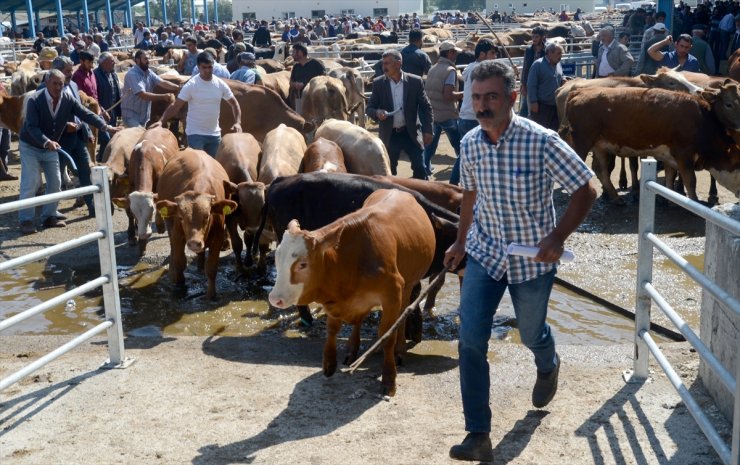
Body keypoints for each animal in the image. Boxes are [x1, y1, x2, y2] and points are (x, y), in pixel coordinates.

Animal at [155, 150, 237, 300]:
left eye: (207, 216)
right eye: (181, 217)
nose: (194, 243)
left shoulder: (217, 238)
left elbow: (211, 268)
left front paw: (211, 295)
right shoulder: (177, 235)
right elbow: (180, 261)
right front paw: (179, 285)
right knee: (173, 249)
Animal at [268, 188, 436, 396]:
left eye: (303, 264)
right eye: (277, 257)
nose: (275, 299)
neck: (353, 259)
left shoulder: (392, 294)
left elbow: (387, 335)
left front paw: (389, 378)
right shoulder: (335, 300)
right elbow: (332, 329)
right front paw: (330, 363)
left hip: (408, 285)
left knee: (402, 316)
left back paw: (399, 349)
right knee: (358, 320)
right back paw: (351, 349)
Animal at [560, 86, 740, 202]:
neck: (701, 120)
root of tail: (578, 92)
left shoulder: (669, 156)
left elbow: (670, 176)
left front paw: (670, 199)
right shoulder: (684, 154)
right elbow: (690, 181)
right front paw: (694, 203)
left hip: (599, 146)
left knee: (601, 169)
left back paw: (615, 197)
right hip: (582, 142)